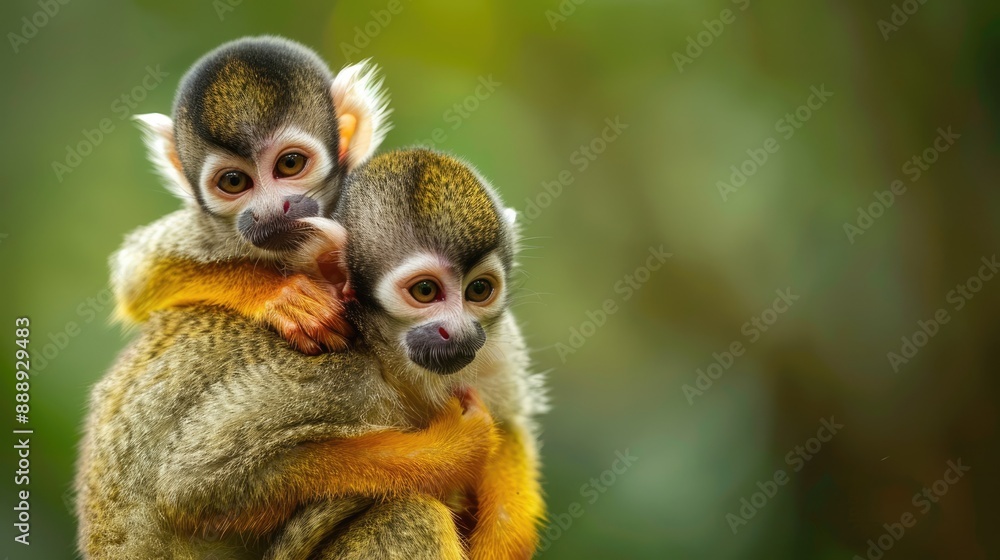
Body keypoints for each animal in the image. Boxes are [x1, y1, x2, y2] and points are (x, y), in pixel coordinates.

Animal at [76, 148, 546, 559]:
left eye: (479, 290)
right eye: (426, 291)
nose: (459, 331)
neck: (383, 353)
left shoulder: (494, 340)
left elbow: (511, 421)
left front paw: (499, 544)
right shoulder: (330, 370)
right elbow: (197, 485)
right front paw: (452, 450)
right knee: (410, 514)